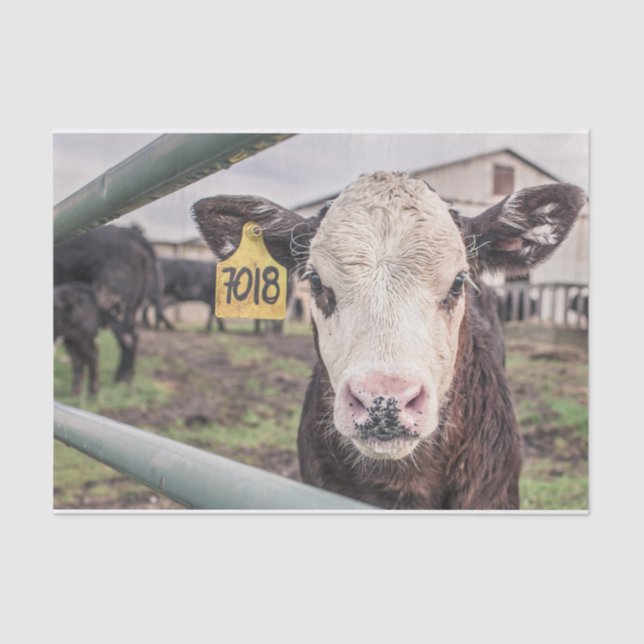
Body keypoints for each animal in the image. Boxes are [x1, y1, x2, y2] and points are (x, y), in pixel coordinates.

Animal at [54, 225, 156, 383]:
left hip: (114, 306)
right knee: (133, 336)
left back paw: (122, 378)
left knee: (128, 339)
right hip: (128, 309)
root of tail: (130, 233)